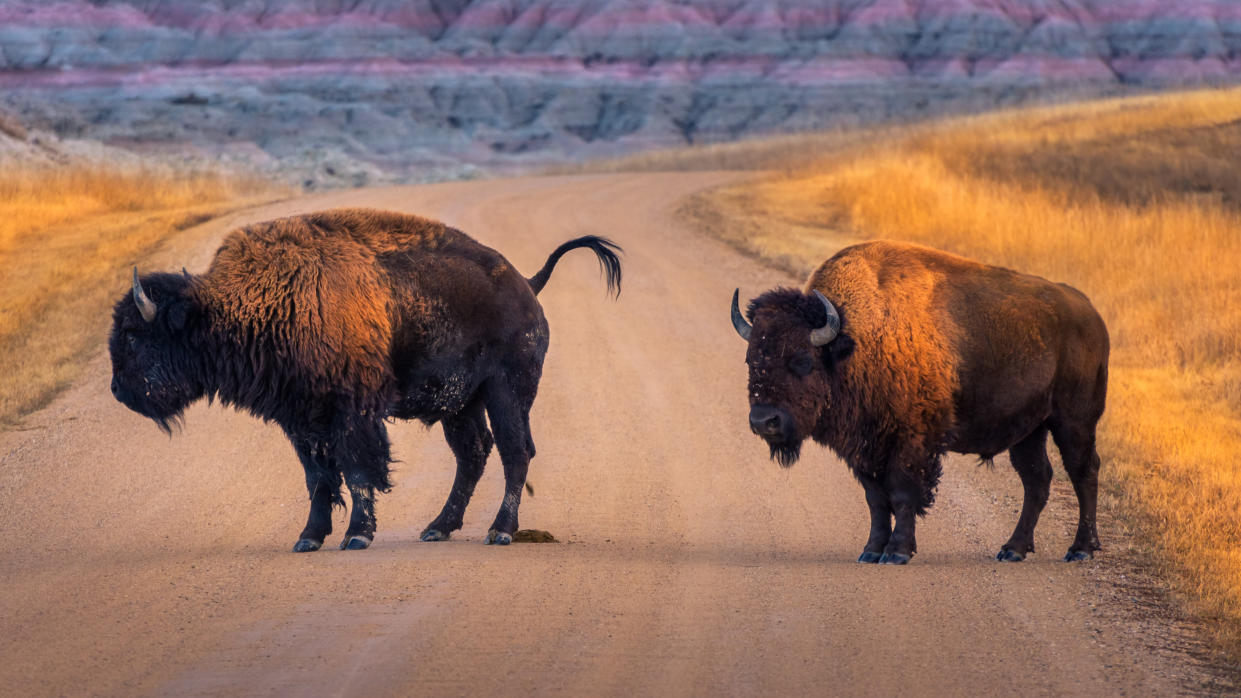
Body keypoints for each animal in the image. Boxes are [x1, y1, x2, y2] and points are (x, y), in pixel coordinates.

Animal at [109, 206, 620, 548]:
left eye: (134, 335)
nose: (117, 390)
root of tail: (526, 284)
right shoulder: (301, 419)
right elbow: (319, 478)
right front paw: (308, 538)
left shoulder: (351, 412)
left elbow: (357, 472)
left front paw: (357, 535)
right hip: (461, 404)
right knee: (473, 454)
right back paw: (437, 528)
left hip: (507, 391)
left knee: (516, 451)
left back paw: (499, 531)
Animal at [729, 237, 1111, 558]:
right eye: (751, 360)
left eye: (802, 360)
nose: (764, 421)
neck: (854, 340)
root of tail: (1092, 314)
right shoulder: (865, 447)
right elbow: (876, 499)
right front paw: (871, 551)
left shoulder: (910, 441)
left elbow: (902, 493)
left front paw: (897, 552)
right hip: (1030, 430)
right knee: (1037, 479)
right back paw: (1013, 549)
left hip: (1073, 421)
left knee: (1084, 471)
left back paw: (1081, 549)